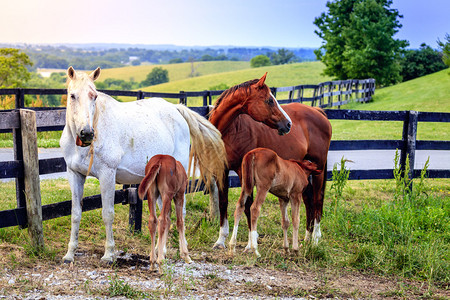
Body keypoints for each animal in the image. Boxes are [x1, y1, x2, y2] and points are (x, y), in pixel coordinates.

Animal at [61, 66, 227, 262]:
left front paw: (109, 255)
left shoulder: (107, 175)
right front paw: (69, 254)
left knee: (181, 212)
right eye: (72, 95)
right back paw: (159, 252)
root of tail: (176, 109)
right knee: (165, 214)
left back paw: (182, 253)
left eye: (94, 96)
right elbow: (75, 214)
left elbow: (107, 214)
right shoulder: (75, 174)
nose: (86, 133)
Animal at [208, 72, 330, 248]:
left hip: (318, 168)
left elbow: (248, 204)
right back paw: (307, 238)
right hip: (305, 168)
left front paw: (251, 242)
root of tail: (318, 111)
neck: (230, 131)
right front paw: (221, 240)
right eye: (269, 100)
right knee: (309, 199)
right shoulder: (221, 169)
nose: (288, 124)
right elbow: (223, 201)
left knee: (318, 199)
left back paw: (315, 239)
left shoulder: (243, 172)